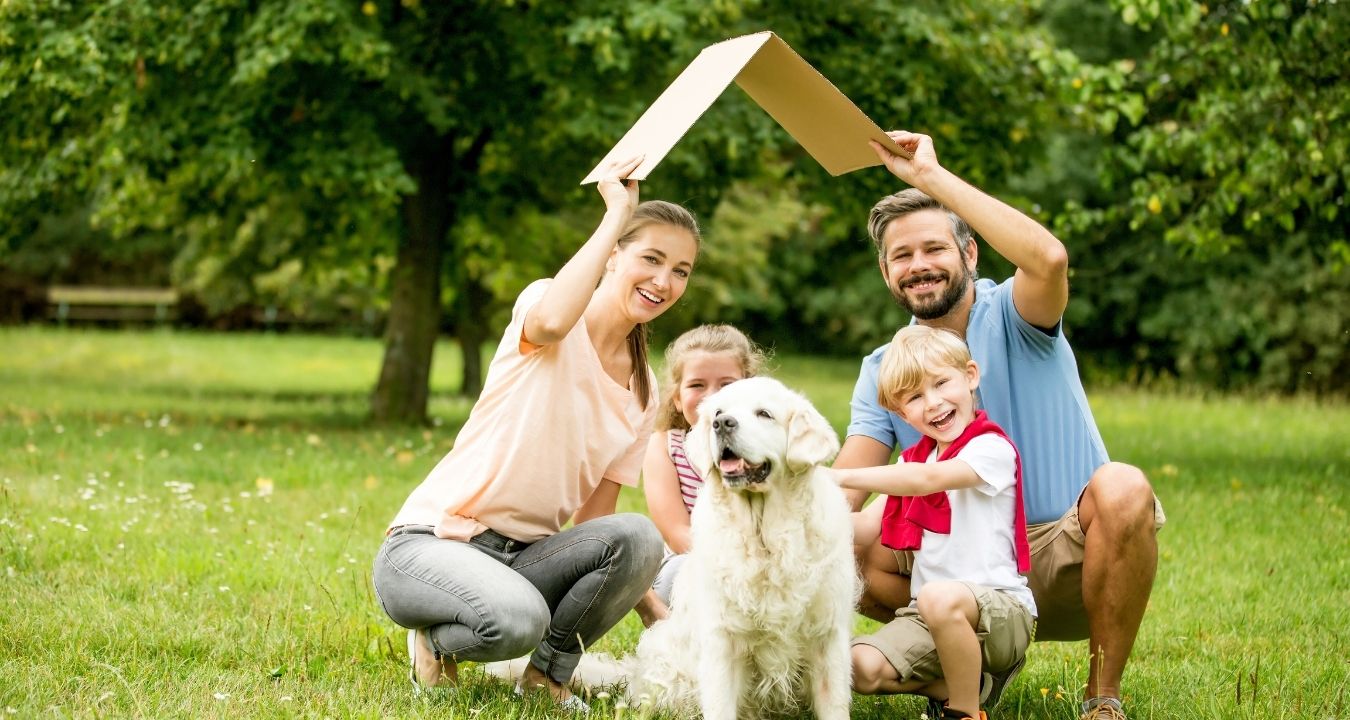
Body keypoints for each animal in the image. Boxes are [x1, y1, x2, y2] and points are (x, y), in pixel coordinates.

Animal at [618, 378, 853, 713]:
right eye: (718, 412)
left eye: (764, 414)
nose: (722, 424)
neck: (764, 538)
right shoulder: (722, 638)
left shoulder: (827, 637)